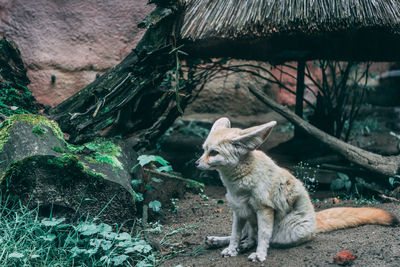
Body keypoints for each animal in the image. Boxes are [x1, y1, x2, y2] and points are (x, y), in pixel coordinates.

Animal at [195, 118, 398, 262]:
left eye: (213, 153)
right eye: (204, 150)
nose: (196, 164)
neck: (238, 184)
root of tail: (315, 220)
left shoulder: (264, 209)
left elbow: (263, 236)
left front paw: (260, 255)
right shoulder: (239, 210)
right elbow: (235, 234)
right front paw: (231, 248)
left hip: (284, 233)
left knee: (256, 238)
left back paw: (245, 246)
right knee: (247, 236)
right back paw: (222, 241)